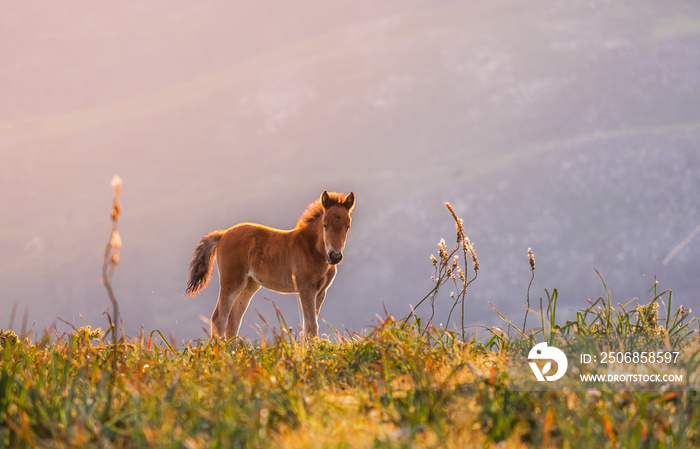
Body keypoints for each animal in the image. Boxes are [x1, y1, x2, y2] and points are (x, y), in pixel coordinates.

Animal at [186, 191, 356, 338]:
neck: (310, 248)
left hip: (249, 285)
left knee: (233, 321)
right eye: (325, 225)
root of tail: (223, 234)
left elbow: (309, 326)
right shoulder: (306, 288)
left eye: (348, 226)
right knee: (219, 318)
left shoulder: (321, 292)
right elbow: (310, 326)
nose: (335, 256)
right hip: (231, 282)